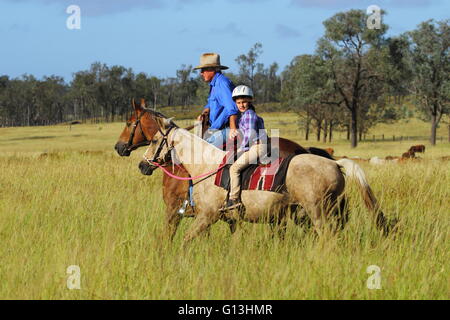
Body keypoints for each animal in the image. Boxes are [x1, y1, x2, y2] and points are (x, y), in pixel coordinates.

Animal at [142, 114, 394, 241]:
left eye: (154, 140)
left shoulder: (206, 216)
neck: (206, 165)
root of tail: (335, 163)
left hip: (317, 211)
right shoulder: (229, 220)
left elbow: (186, 239)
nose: (142, 165)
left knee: (327, 237)